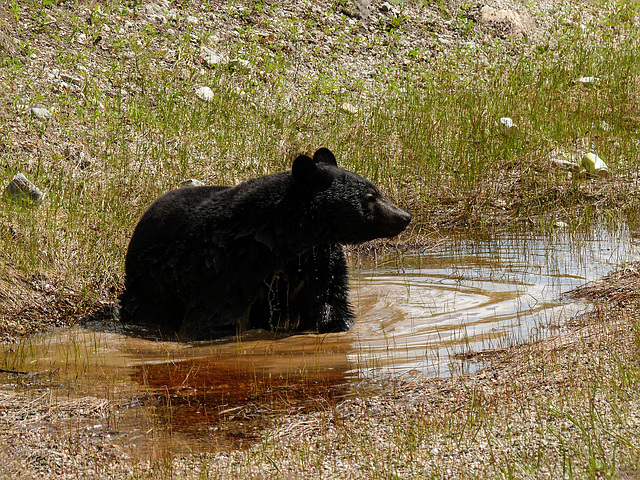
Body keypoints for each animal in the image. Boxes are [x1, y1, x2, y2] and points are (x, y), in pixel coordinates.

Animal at [119, 148, 410, 340]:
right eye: (369, 197)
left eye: (376, 190)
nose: (404, 216)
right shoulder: (224, 269)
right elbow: (214, 318)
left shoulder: (319, 257)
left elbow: (328, 300)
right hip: (146, 285)